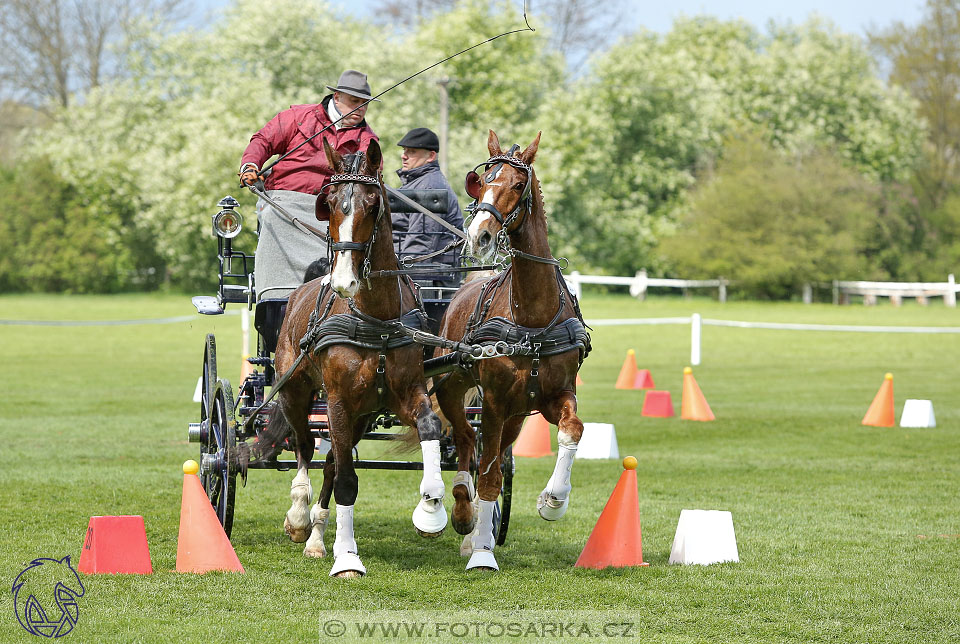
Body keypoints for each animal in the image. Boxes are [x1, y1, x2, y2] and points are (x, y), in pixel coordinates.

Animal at [255, 140, 450, 580]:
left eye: (373, 203)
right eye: (328, 203)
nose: (344, 279)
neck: (375, 318)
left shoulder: (402, 394)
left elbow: (429, 427)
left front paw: (431, 509)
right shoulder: (339, 402)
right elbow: (346, 480)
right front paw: (347, 558)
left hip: (361, 415)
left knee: (330, 460)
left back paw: (315, 537)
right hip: (297, 391)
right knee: (306, 448)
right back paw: (299, 518)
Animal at [436, 130, 592, 568]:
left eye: (519, 184)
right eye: (482, 180)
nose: (479, 236)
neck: (533, 318)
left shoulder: (555, 395)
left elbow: (573, 429)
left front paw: (553, 500)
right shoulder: (493, 401)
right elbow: (488, 474)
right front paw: (482, 555)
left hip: (517, 418)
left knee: (482, 449)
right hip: (453, 389)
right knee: (463, 440)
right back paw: (460, 512)